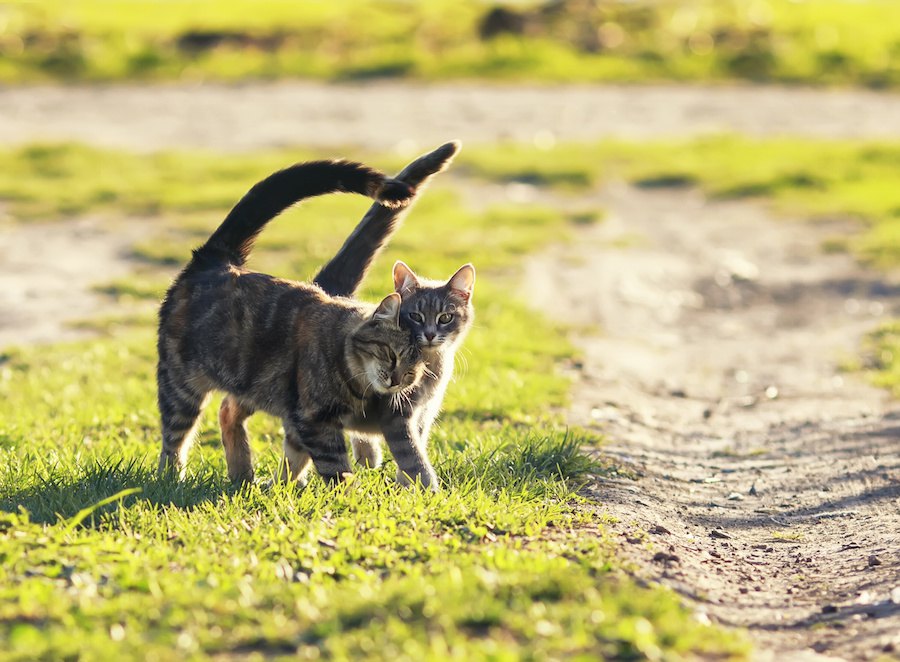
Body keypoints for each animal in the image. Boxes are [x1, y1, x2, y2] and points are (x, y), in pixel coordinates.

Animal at [157, 158, 432, 486]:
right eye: (392, 354)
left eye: (414, 370)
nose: (396, 380)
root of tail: (216, 259)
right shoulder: (313, 420)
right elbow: (335, 467)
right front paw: (347, 493)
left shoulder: (301, 419)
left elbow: (297, 457)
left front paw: (285, 485)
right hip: (181, 386)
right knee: (174, 438)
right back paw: (172, 478)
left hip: (254, 383)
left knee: (227, 411)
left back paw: (243, 475)